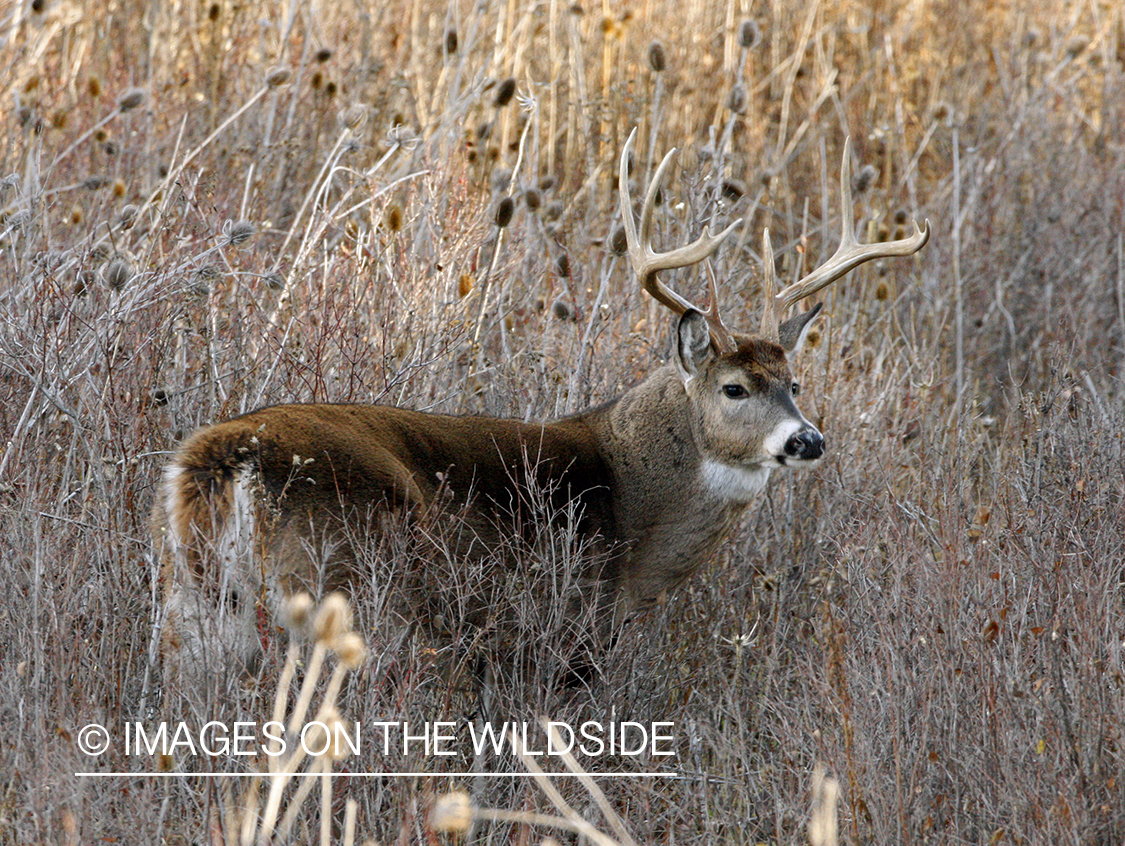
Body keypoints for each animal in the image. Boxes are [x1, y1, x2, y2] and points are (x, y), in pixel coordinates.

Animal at [156, 130, 931, 702]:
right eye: (736, 387)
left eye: (794, 382)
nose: (808, 439)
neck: (634, 517)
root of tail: (224, 458)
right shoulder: (558, 636)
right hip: (341, 588)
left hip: (199, 609)